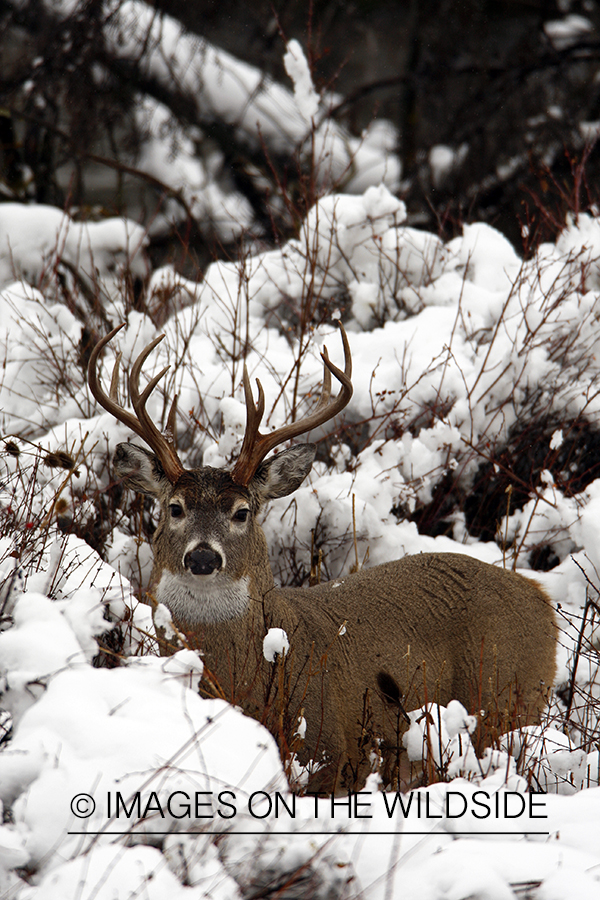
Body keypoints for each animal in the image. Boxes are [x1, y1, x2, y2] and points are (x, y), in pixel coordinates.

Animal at [89, 322, 556, 788]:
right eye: (174, 508)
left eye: (241, 512)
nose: (203, 558)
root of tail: (541, 598)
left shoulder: (331, 750)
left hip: (509, 698)